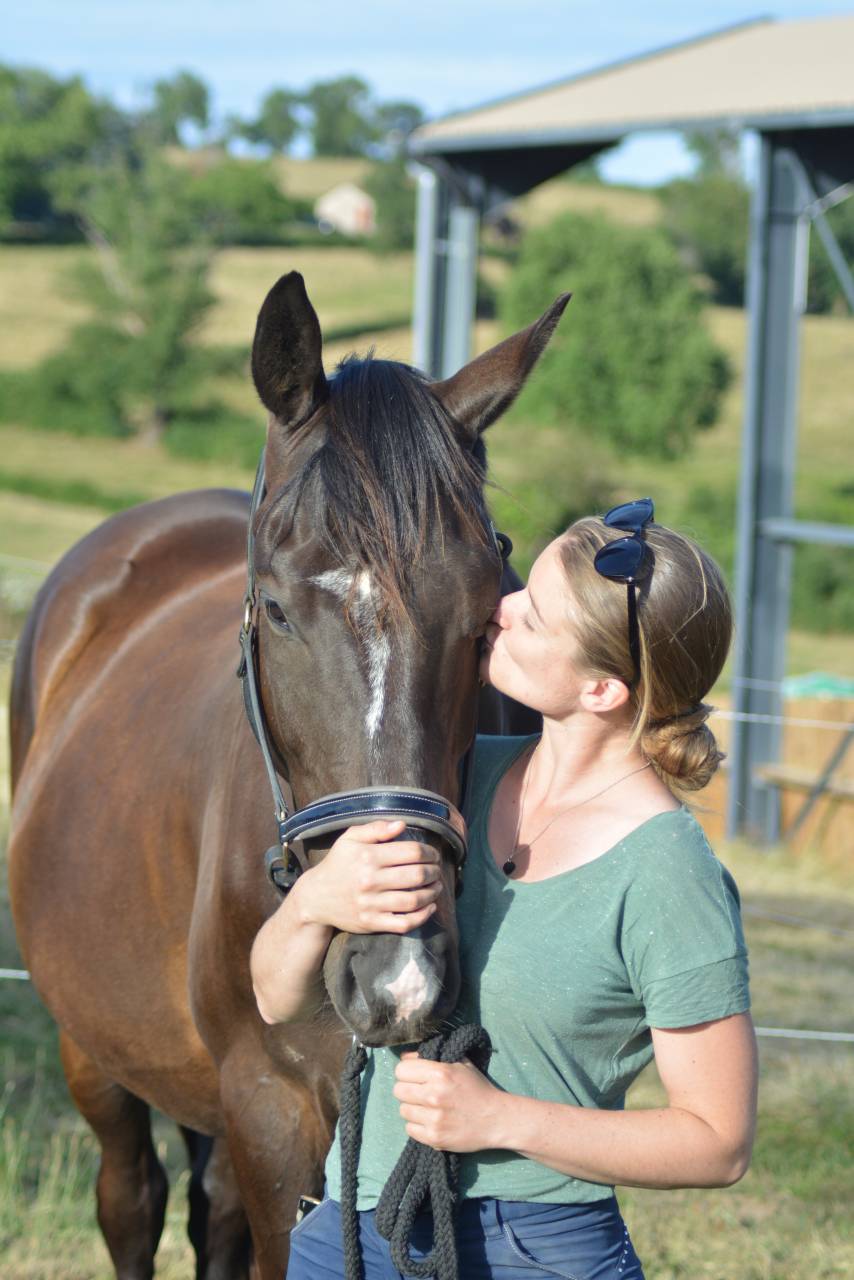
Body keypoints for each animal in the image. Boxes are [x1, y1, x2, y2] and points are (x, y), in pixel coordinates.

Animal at [9, 271, 568, 1279]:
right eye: (274, 605)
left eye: (488, 614)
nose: (393, 975)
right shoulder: (268, 1106)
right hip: (91, 1046)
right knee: (131, 1201)